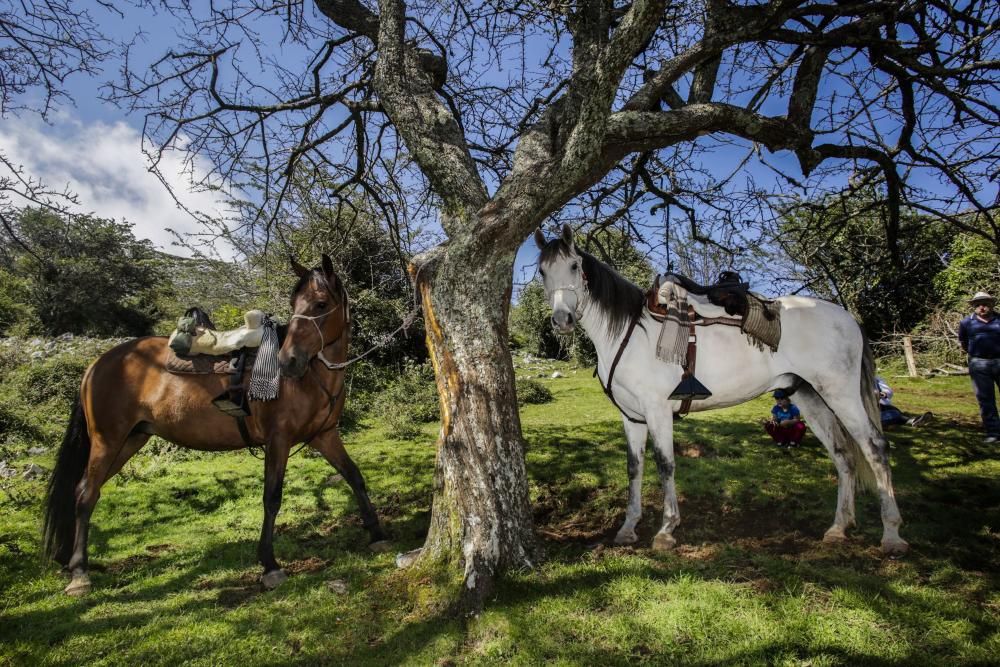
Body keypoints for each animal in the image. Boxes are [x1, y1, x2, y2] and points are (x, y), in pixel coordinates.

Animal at [45, 254, 384, 596]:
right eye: (294, 303)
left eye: (320, 303)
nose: (288, 361)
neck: (310, 378)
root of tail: (96, 364)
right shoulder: (278, 440)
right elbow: (272, 497)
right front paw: (269, 564)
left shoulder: (323, 435)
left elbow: (354, 476)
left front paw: (376, 533)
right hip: (108, 440)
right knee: (86, 494)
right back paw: (79, 573)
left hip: (128, 441)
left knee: (86, 491)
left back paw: (69, 561)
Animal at [536, 227, 912, 556]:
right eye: (542, 271)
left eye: (574, 266)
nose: (562, 320)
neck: (631, 331)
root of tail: (847, 318)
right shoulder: (633, 417)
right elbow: (634, 467)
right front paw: (629, 528)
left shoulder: (658, 410)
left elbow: (665, 464)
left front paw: (666, 530)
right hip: (812, 397)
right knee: (843, 454)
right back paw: (838, 528)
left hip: (840, 394)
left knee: (875, 448)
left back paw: (892, 534)